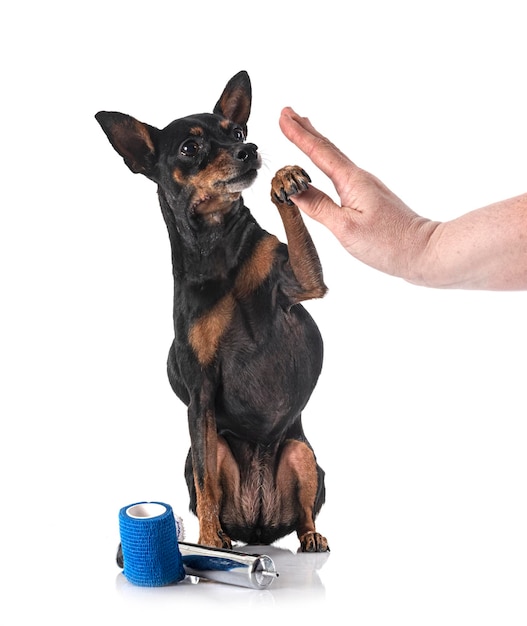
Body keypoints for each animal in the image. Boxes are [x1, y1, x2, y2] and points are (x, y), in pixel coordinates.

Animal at [93, 72, 328, 552]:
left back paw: (312, 536)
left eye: (235, 132)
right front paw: (206, 539)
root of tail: (258, 528)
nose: (249, 150)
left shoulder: (303, 284)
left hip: (301, 452)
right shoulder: (200, 392)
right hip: (216, 443)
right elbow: (205, 480)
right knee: (210, 486)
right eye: (190, 147)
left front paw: (284, 178)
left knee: (304, 516)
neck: (217, 248)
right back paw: (219, 535)